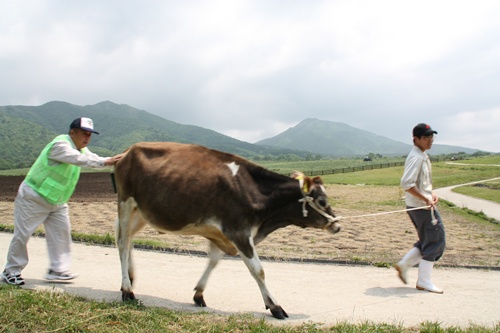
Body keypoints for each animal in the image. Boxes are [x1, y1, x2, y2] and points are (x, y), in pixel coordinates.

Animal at [114, 141, 340, 318]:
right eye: (322, 200)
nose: (337, 225)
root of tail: (127, 152)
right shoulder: (239, 231)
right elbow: (258, 270)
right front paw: (275, 306)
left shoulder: (220, 234)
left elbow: (213, 262)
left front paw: (199, 294)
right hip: (125, 203)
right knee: (123, 243)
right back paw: (127, 291)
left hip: (142, 212)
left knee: (128, 239)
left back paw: (131, 277)